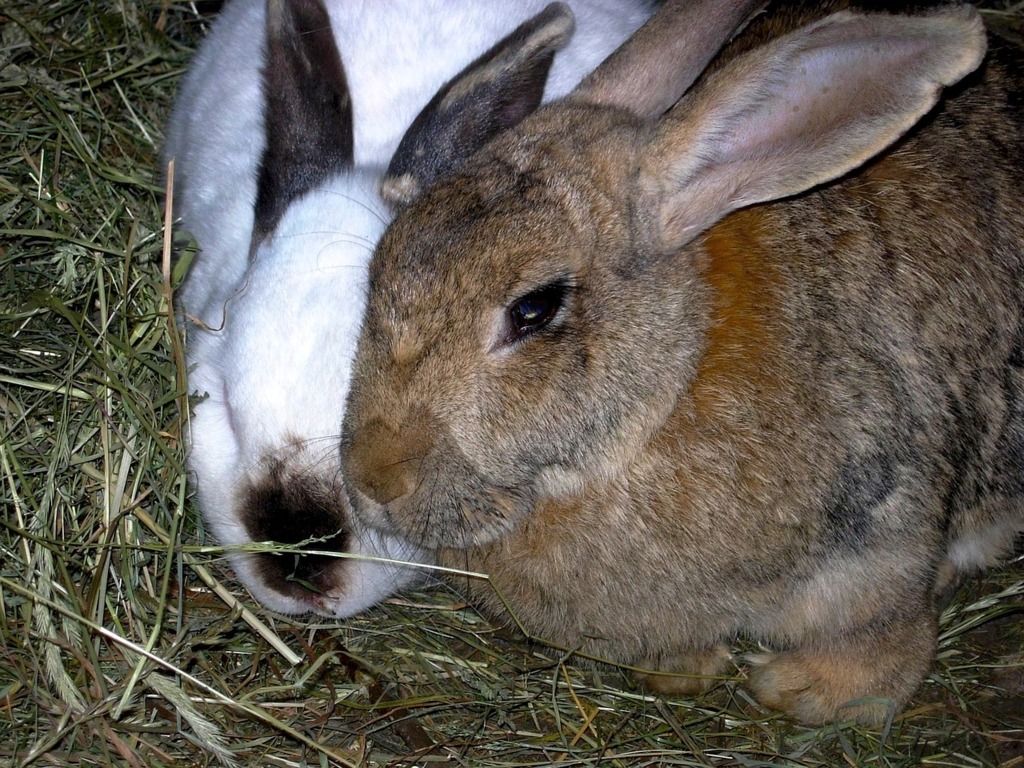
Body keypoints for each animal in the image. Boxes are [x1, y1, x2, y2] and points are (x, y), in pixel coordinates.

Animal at [339, 0, 1024, 724]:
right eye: (378, 268)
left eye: (533, 309)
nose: (374, 479)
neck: (669, 391)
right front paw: (683, 670)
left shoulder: (884, 534)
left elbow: (883, 634)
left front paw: (806, 693)